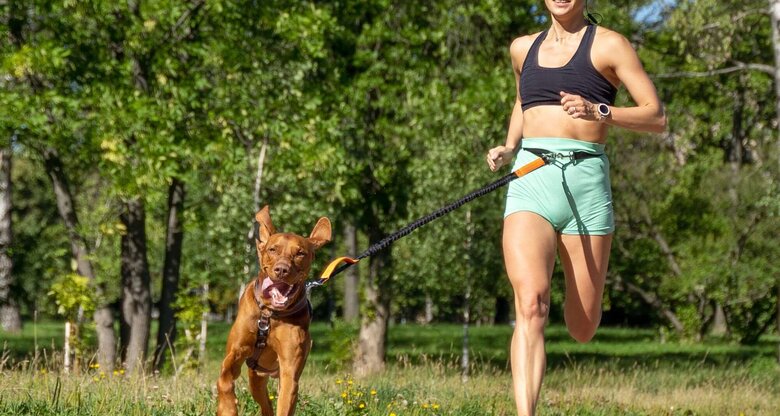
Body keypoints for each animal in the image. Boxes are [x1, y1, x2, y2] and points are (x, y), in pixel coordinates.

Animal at [216, 206, 332, 416]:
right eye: (272, 249)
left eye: (300, 253)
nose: (282, 270)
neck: (269, 315)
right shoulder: (237, 350)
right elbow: (224, 377)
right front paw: (227, 407)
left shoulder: (289, 371)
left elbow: (286, 398)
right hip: (255, 378)